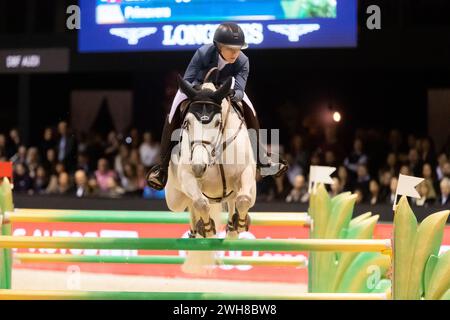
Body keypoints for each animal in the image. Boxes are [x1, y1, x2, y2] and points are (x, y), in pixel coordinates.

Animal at [165, 75, 256, 272]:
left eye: (217, 123)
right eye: (187, 123)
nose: (199, 167)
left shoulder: (245, 173)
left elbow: (243, 199)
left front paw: (240, 224)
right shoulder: (188, 176)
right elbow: (200, 203)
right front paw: (207, 229)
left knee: (234, 198)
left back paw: (232, 227)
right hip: (174, 199)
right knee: (190, 203)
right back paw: (196, 230)